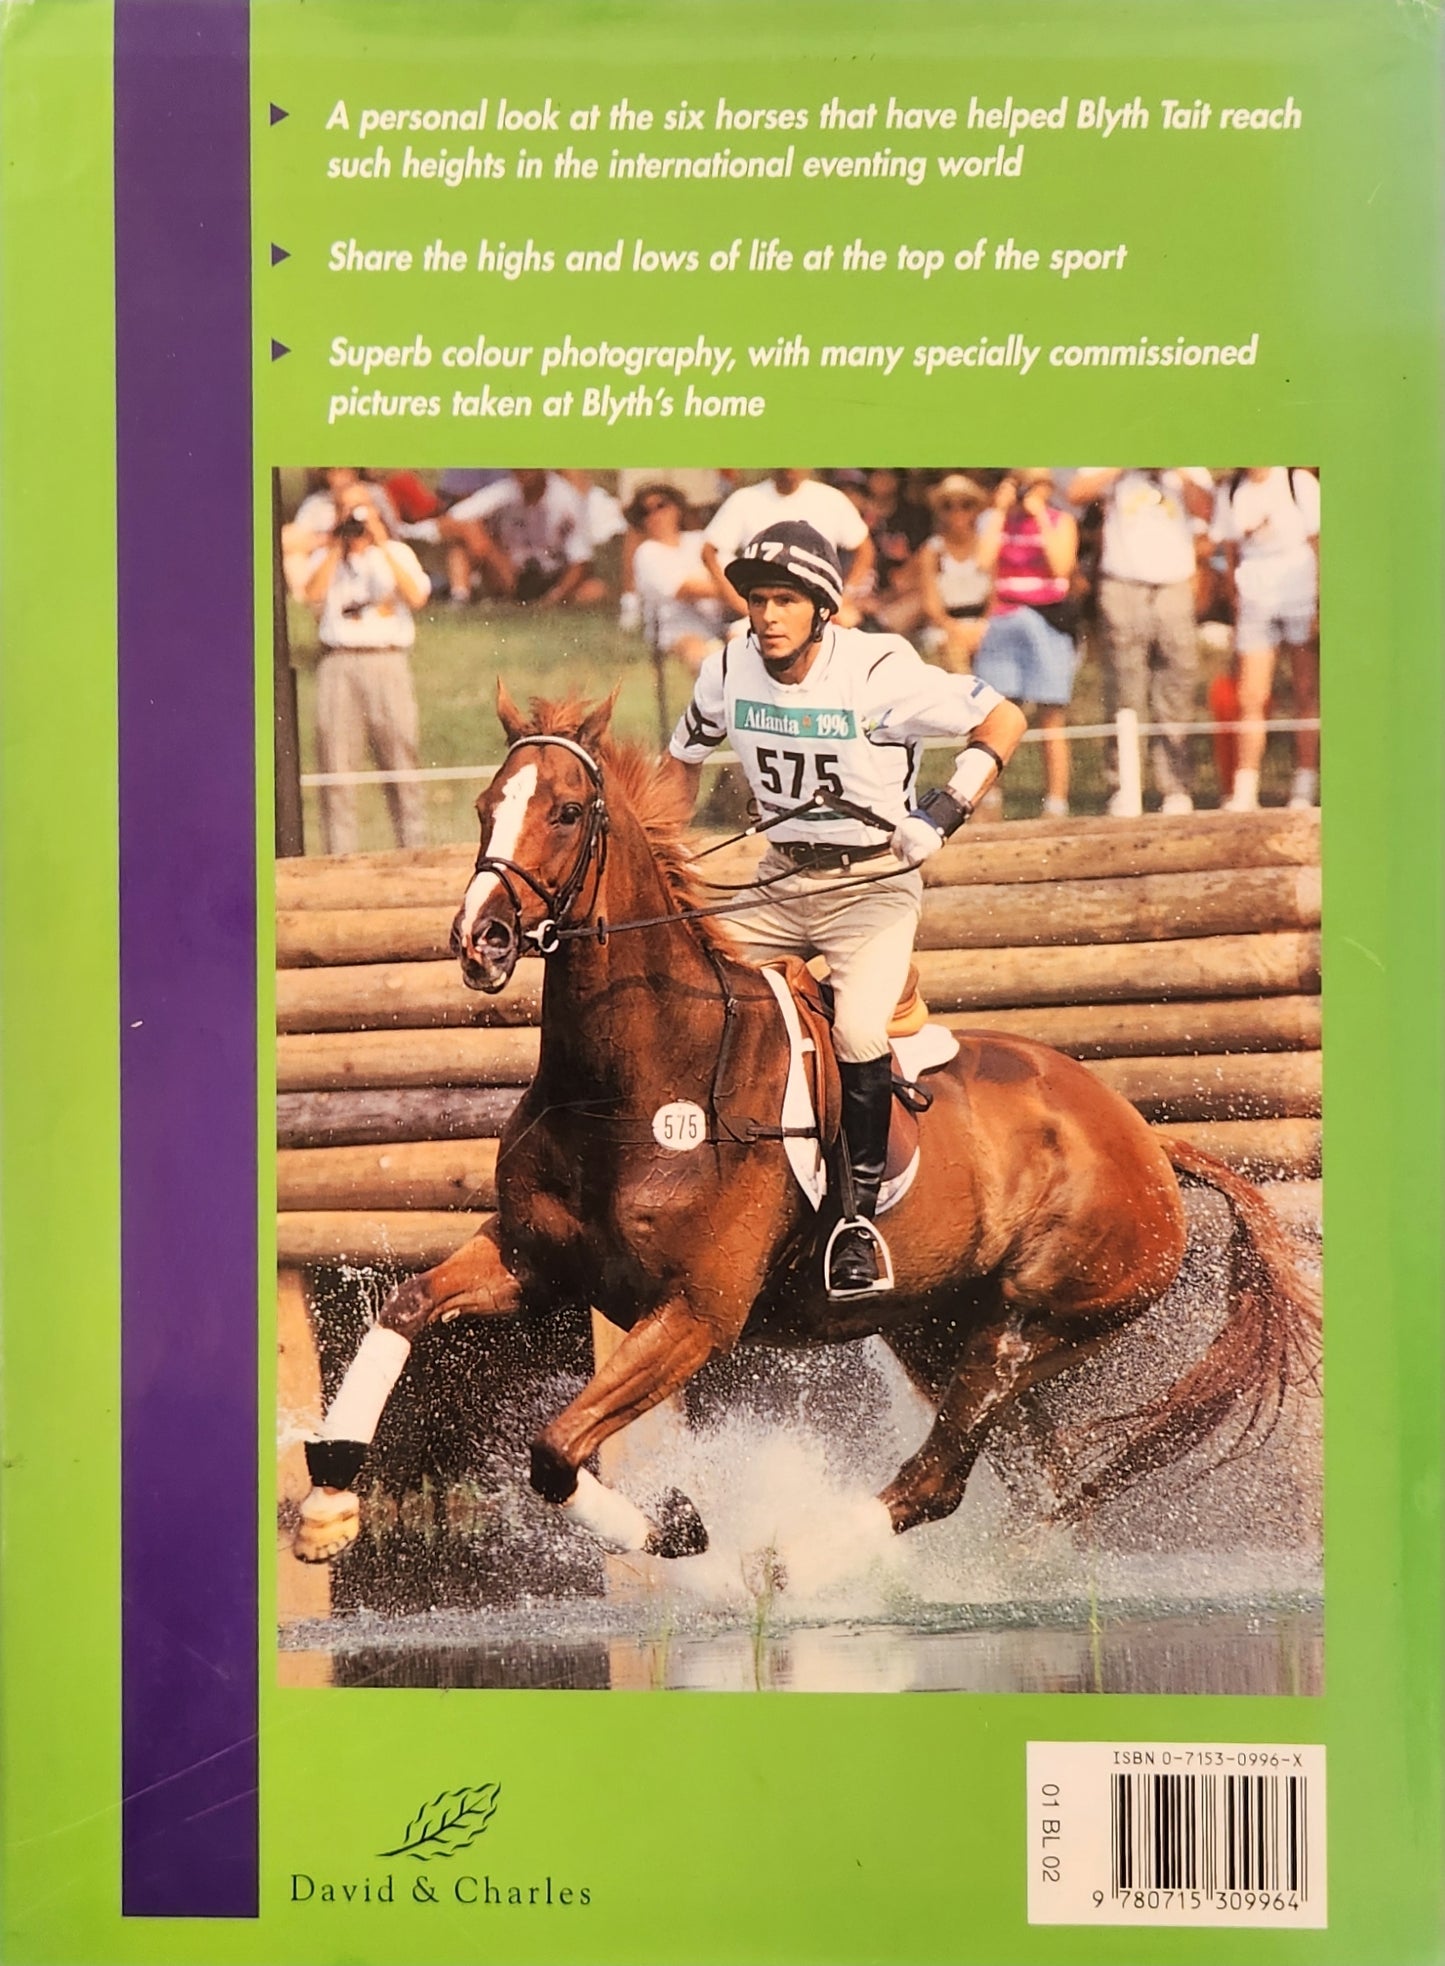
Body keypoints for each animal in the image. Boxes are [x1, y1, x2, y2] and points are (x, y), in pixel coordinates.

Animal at [293, 686, 1321, 1567]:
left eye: (567, 813)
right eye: (484, 805)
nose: (483, 941)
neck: (629, 1082)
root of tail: (1147, 1139)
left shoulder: (694, 1317)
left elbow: (553, 1450)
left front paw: (678, 1534)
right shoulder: (531, 1259)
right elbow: (405, 1307)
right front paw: (330, 1501)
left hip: (1034, 1320)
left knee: (940, 1476)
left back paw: (789, 1568)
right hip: (939, 1328)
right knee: (1030, 1477)